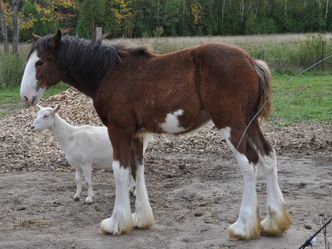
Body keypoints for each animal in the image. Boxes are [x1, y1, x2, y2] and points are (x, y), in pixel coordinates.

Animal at [20, 30, 290, 239]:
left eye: (40, 63)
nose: (25, 96)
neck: (110, 73)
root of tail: (251, 62)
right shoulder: (137, 134)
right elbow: (137, 169)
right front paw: (140, 218)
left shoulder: (118, 130)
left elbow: (120, 171)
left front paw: (116, 222)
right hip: (250, 124)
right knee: (268, 157)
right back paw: (273, 222)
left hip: (231, 125)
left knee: (249, 163)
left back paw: (243, 227)